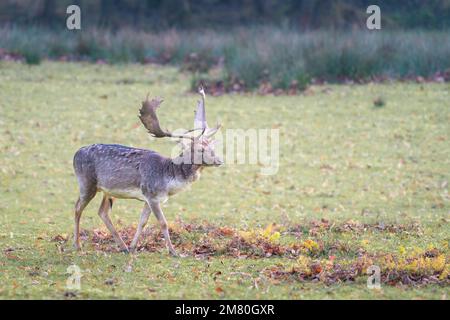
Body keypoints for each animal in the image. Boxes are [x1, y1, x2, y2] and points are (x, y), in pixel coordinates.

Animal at [72, 87, 221, 255]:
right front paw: (174, 252)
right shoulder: (151, 195)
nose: (219, 161)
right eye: (200, 149)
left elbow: (142, 222)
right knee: (77, 207)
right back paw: (77, 245)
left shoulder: (147, 199)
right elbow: (163, 223)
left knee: (102, 212)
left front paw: (133, 247)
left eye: (212, 147)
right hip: (86, 182)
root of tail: (75, 154)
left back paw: (123, 247)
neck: (167, 178)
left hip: (107, 191)